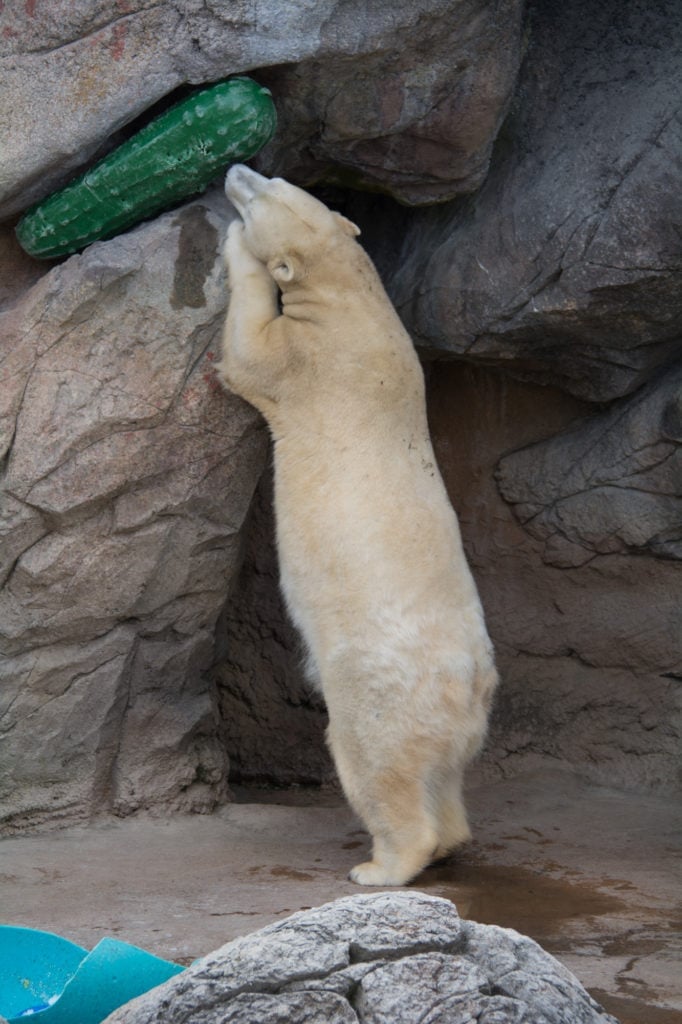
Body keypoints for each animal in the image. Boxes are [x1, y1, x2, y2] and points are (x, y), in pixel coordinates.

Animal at [218, 165, 498, 886]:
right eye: (275, 175)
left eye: (263, 193)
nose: (236, 171)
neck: (356, 302)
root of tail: (469, 686)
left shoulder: (308, 361)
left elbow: (249, 352)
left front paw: (234, 247)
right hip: (457, 717)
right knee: (443, 775)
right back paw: (447, 839)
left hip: (379, 685)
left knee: (374, 759)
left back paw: (382, 866)